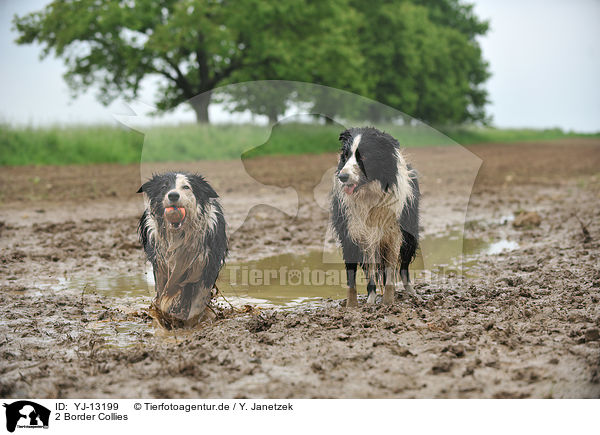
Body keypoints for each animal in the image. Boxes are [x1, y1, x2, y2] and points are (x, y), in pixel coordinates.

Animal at [138, 172, 227, 328]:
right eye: (164, 187)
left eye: (186, 187)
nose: (173, 195)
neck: (178, 235)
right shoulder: (161, 267)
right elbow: (162, 295)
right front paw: (163, 320)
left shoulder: (206, 267)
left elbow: (196, 305)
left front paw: (190, 326)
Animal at [330, 127, 420, 308]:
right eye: (346, 155)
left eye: (364, 157)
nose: (342, 177)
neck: (369, 192)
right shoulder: (351, 232)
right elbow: (353, 275)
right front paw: (352, 306)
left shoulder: (394, 233)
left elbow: (391, 268)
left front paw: (388, 301)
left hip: (410, 232)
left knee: (404, 266)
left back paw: (411, 292)